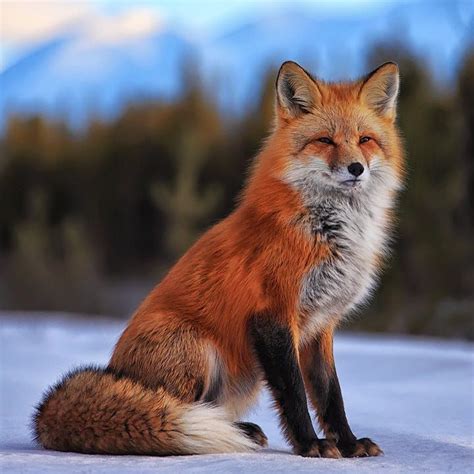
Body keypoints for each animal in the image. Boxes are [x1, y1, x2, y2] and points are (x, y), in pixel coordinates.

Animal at [33, 61, 404, 458]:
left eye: (365, 140)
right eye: (325, 141)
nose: (356, 168)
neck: (327, 229)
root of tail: (116, 369)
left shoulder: (321, 326)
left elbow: (331, 395)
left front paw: (349, 444)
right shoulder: (273, 315)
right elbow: (294, 394)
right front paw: (310, 444)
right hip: (196, 348)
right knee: (174, 410)